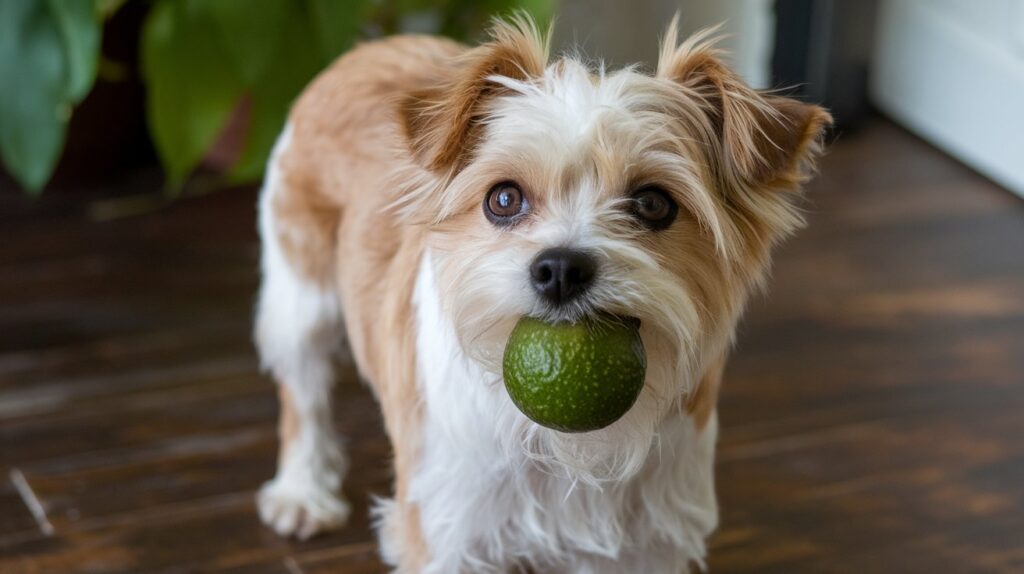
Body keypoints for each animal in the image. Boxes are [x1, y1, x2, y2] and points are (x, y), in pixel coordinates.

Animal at [253, 13, 831, 572]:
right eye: (504, 199)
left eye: (652, 203)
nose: (560, 269)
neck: (562, 446)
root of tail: (373, 46)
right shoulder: (447, 534)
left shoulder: (646, 544)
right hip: (300, 299)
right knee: (302, 394)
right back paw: (303, 491)